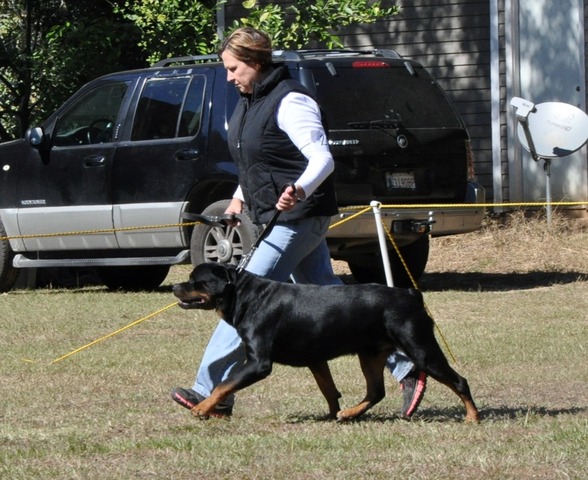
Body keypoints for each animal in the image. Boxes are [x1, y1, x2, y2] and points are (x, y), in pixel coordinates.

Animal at [172, 260, 480, 422]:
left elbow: (224, 384)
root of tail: (411, 294)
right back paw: (349, 414)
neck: (244, 296)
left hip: (421, 348)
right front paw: (332, 414)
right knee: (375, 391)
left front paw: (201, 408)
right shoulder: (315, 359)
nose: (175, 286)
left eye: (195, 280)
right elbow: (329, 390)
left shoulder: (258, 363)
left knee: (459, 381)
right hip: (370, 354)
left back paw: (472, 417)